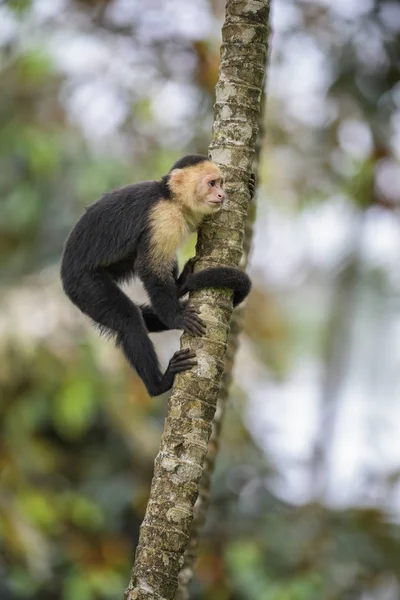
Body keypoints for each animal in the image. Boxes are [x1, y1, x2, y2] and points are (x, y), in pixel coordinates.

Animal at [61, 155, 252, 396]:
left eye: (221, 183)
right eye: (211, 184)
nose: (221, 195)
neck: (170, 198)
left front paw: (251, 187)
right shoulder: (163, 217)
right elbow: (150, 268)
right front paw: (176, 317)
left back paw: (180, 286)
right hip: (84, 285)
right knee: (128, 318)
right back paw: (159, 384)